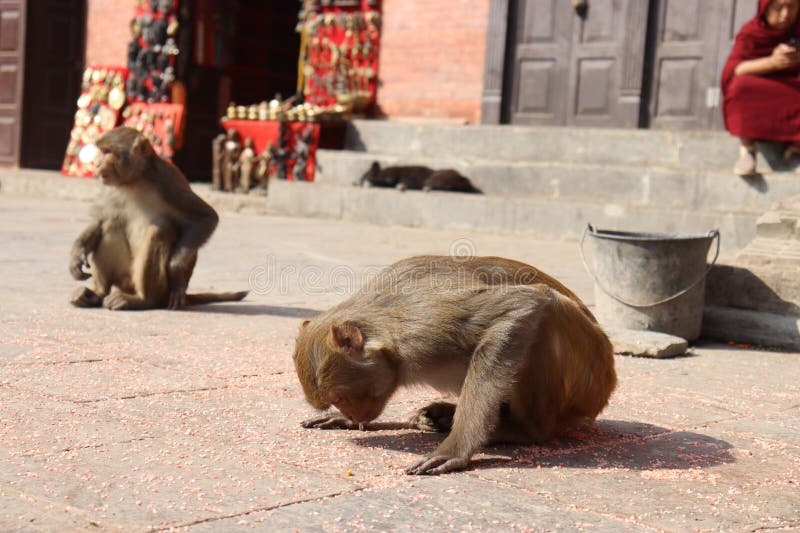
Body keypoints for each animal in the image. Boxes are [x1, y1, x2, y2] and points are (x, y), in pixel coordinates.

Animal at [70, 127, 248, 310]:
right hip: (125, 278)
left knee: (160, 230)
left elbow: (206, 217)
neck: (135, 180)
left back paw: (143, 300)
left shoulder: (166, 183)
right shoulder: (111, 188)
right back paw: (97, 293)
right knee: (111, 225)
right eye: (102, 151)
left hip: (161, 290)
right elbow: (102, 219)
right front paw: (77, 254)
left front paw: (175, 270)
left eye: (107, 152)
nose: (97, 164)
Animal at [294, 255, 620, 474]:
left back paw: (521, 430)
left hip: (585, 379)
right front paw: (346, 420)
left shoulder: (426, 327)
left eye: (339, 396)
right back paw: (438, 417)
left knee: (547, 306)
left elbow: (520, 304)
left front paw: (458, 448)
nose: (352, 413)